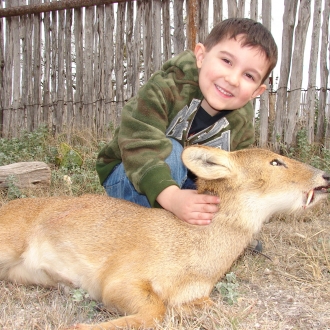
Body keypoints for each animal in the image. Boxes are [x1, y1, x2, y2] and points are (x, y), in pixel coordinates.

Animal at [0, 147, 328, 330]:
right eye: (275, 162)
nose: (325, 175)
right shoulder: (119, 277)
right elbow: (155, 311)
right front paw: (79, 326)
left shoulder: (196, 296)